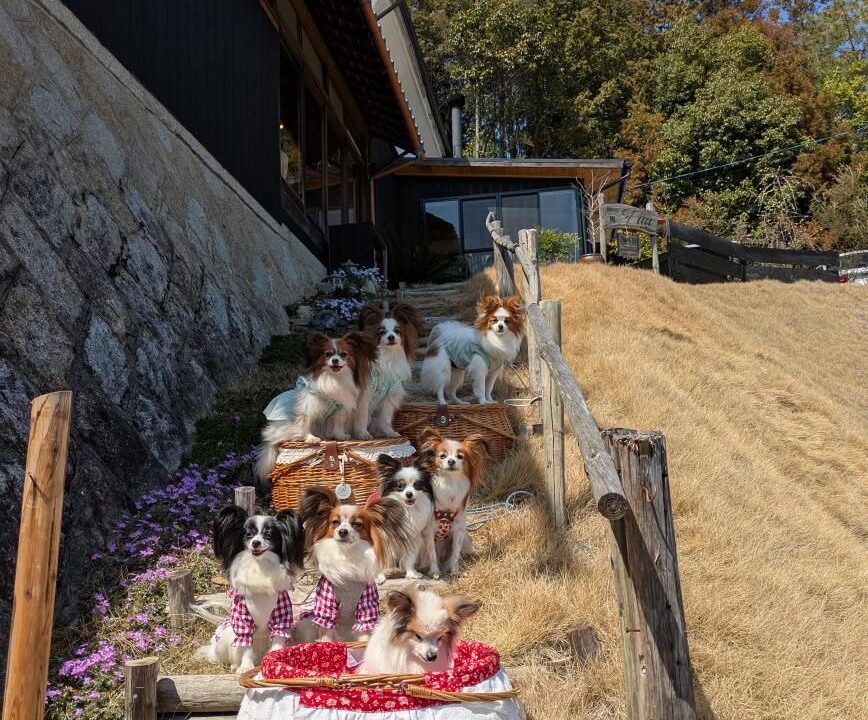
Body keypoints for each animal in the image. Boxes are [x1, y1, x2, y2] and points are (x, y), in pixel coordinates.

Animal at [194, 505, 305, 673]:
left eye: (268, 534)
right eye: (248, 534)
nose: (256, 543)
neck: (260, 566)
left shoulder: (281, 616)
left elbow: (278, 639)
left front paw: (274, 660)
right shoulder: (243, 620)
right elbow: (246, 645)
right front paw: (246, 667)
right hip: (227, 635)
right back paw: (235, 665)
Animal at [255, 331, 377, 480]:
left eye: (343, 354)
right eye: (327, 354)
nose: (335, 360)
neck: (334, 378)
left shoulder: (339, 408)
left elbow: (338, 422)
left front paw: (340, 435)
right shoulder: (308, 407)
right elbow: (306, 422)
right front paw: (310, 438)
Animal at [293, 487, 414, 642]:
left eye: (357, 524)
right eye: (335, 522)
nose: (342, 531)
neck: (348, 555)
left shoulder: (366, 605)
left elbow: (364, 629)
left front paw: (364, 644)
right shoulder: (326, 605)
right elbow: (326, 630)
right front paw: (326, 643)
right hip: (306, 625)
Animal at [355, 303, 424, 438]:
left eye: (397, 331)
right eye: (382, 332)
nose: (391, 337)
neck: (388, 357)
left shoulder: (389, 395)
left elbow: (385, 418)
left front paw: (389, 432)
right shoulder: (364, 395)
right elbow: (363, 416)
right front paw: (363, 434)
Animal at [421, 429, 487, 575]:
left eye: (460, 457)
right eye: (442, 456)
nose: (451, 461)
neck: (449, 483)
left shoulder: (458, 529)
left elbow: (455, 553)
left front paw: (454, 570)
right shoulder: (429, 530)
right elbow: (432, 554)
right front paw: (435, 572)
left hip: (467, 542)